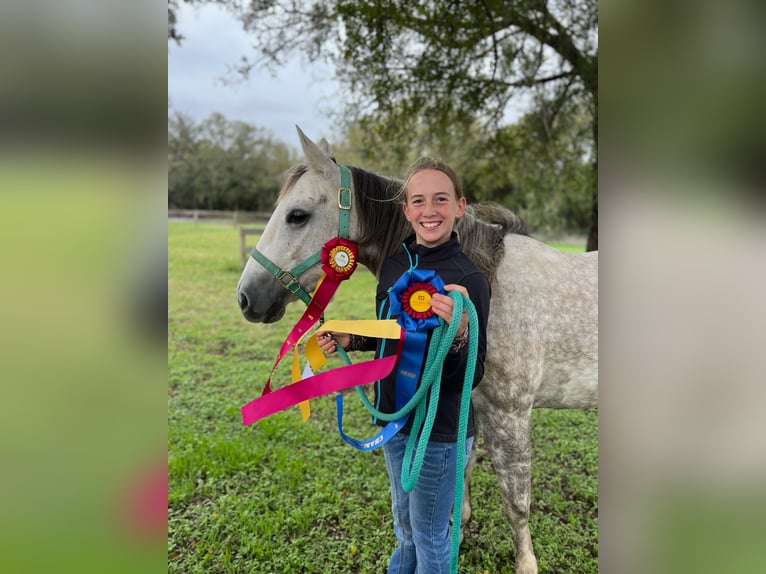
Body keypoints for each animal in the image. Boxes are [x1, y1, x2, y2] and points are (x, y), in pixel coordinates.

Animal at [236, 127, 600, 574]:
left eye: (297, 215)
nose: (246, 298)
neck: (490, 282)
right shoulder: (472, 402)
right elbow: (463, 465)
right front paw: (458, 527)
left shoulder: (508, 413)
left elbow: (516, 502)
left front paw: (525, 564)